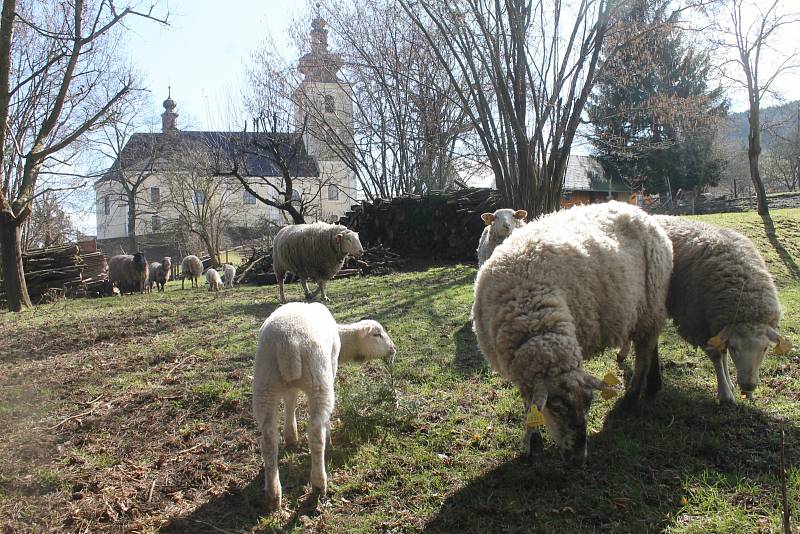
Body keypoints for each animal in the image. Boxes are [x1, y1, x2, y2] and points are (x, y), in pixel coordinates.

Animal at [252, 304, 396, 512]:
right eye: (377, 334)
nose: (393, 349)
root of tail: (288, 343)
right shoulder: (332, 365)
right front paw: (326, 431)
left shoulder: (289, 386)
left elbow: (290, 401)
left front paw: (291, 436)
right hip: (318, 380)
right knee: (315, 434)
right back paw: (320, 483)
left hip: (265, 382)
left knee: (269, 440)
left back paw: (273, 495)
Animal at [472, 203, 672, 466]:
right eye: (556, 408)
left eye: (589, 403)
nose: (579, 459)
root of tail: (638, 210)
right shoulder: (522, 372)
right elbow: (528, 405)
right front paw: (534, 444)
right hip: (645, 309)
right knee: (650, 345)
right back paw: (653, 385)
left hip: (652, 301)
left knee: (644, 353)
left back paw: (632, 398)